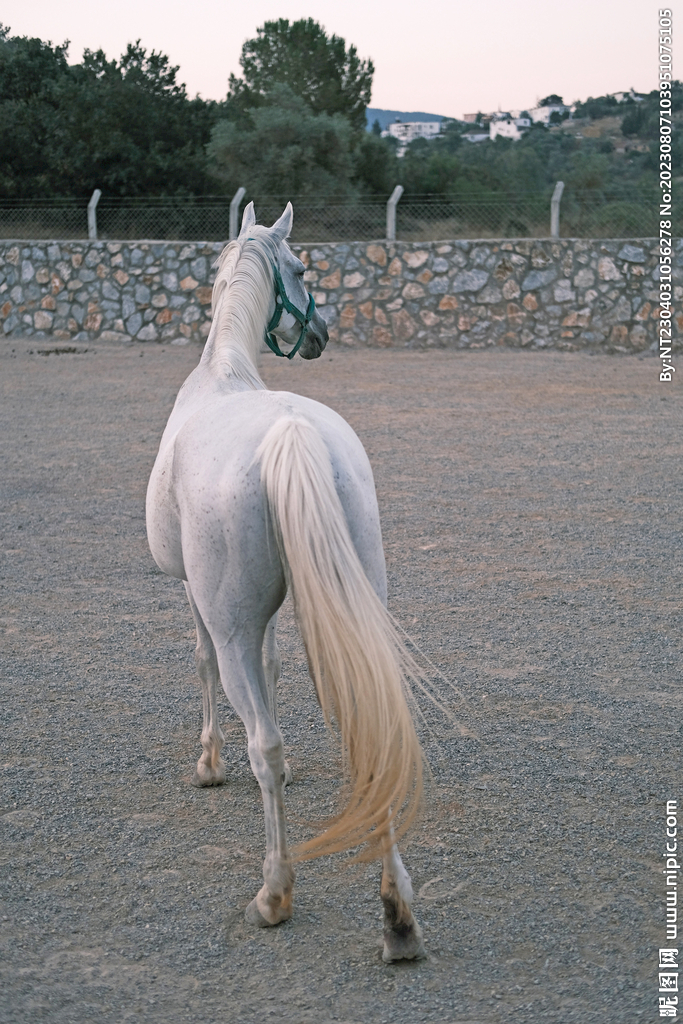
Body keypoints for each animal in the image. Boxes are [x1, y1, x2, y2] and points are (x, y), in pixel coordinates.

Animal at [146, 202, 426, 962]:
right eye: (302, 268)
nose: (322, 334)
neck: (223, 372)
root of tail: (290, 434)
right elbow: (274, 669)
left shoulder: (202, 602)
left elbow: (203, 664)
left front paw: (210, 762)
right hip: (359, 602)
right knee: (372, 726)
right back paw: (398, 920)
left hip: (231, 620)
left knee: (261, 743)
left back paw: (274, 893)